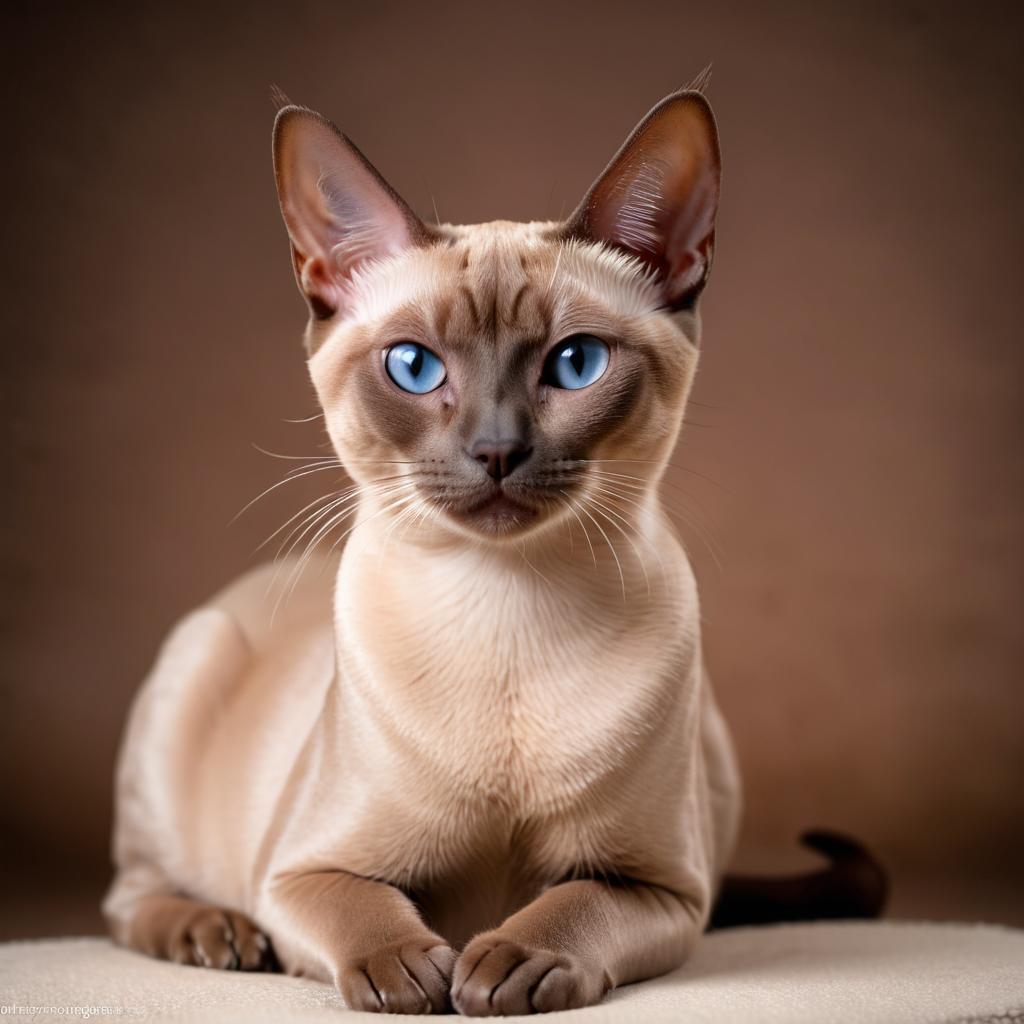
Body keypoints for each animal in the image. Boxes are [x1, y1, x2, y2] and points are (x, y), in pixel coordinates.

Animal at [103, 83, 884, 1011]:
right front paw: (408, 975)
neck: (506, 603)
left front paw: (507, 965)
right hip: (192, 667)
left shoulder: (662, 890)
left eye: (576, 363)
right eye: (412, 367)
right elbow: (366, 915)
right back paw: (212, 934)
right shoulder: (299, 874)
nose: (498, 450)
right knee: (131, 899)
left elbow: (572, 906)